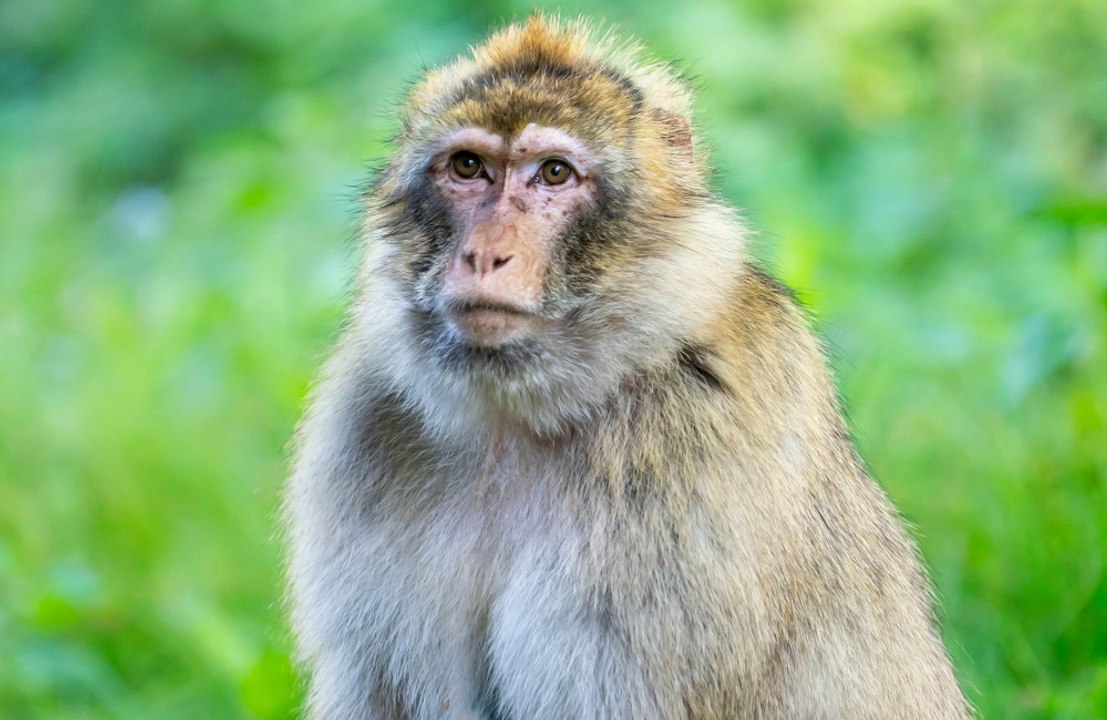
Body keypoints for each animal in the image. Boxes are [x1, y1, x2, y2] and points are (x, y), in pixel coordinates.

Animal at [284, 15, 971, 720]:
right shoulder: (365, 422)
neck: (519, 413)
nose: (484, 256)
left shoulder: (690, 468)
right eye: (469, 166)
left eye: (554, 173)